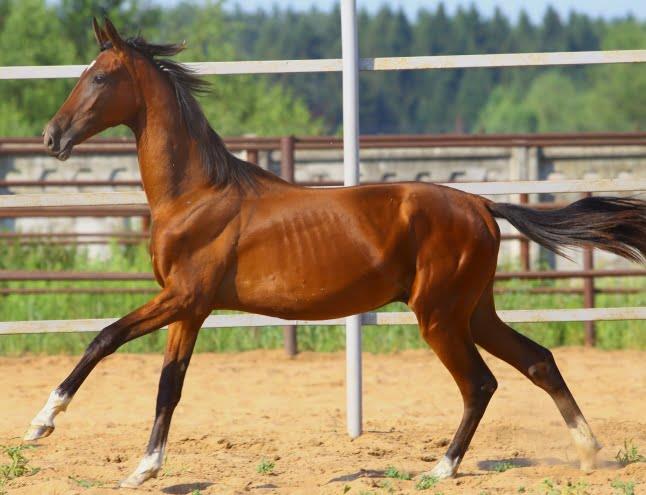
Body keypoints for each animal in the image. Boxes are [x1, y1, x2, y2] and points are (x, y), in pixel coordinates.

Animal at [24, 18, 646, 488]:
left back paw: (442, 469)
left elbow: (105, 338)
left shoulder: (182, 297)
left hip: (439, 315)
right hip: (474, 310)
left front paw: (41, 424)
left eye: (101, 76)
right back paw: (590, 451)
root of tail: (479, 203)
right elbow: (169, 383)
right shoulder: (192, 308)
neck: (197, 194)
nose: (51, 137)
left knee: (480, 383)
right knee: (538, 360)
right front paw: (143, 469)